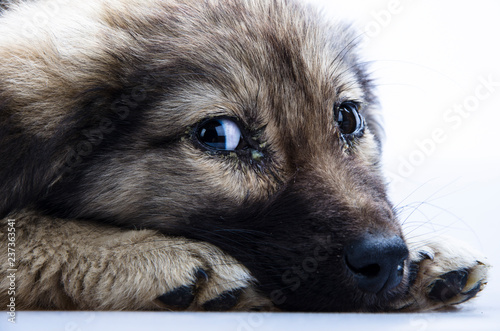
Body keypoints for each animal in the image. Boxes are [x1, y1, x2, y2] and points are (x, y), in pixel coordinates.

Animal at [0, 0, 488, 312]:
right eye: (220, 135)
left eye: (348, 118)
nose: (387, 259)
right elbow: (22, 232)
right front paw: (146, 255)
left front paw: (426, 254)